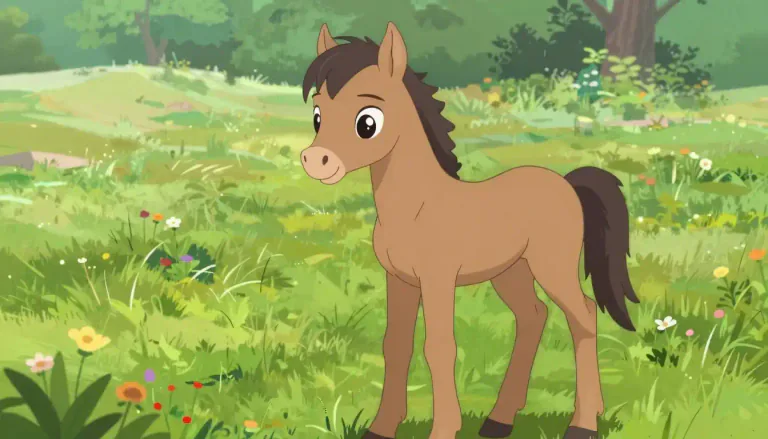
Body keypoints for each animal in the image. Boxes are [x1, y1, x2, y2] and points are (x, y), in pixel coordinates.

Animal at [299, 22, 639, 439]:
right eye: (317, 115)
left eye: (368, 122)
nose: (317, 160)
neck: (416, 207)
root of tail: (566, 183)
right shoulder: (400, 280)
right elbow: (395, 344)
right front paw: (381, 427)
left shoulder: (438, 279)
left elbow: (439, 347)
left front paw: (444, 428)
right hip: (511, 272)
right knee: (533, 317)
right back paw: (499, 420)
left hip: (552, 267)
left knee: (584, 316)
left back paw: (583, 424)